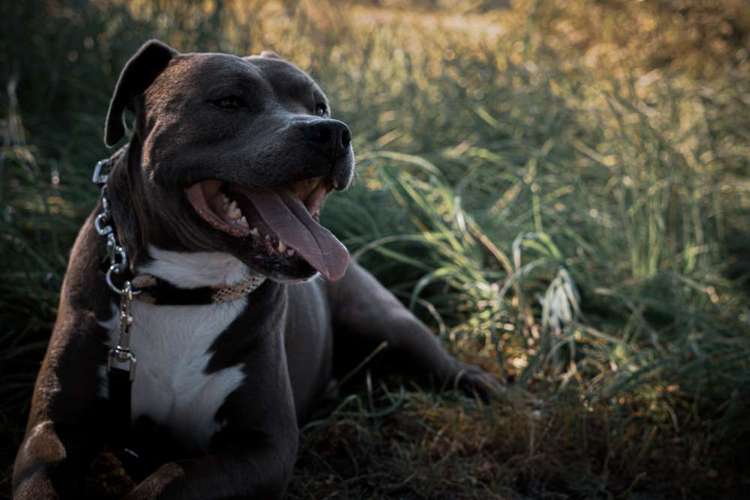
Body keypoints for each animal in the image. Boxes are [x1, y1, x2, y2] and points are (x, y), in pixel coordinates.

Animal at [11, 40, 502, 500]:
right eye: (228, 101)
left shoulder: (264, 446)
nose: (333, 132)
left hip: (384, 320)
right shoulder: (54, 429)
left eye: (319, 106)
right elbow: (42, 480)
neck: (185, 289)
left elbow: (166, 483)